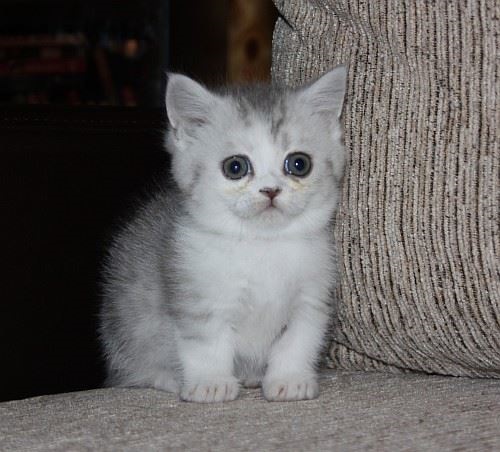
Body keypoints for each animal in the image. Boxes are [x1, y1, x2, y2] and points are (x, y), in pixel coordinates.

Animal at [99, 65, 346, 400]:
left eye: (298, 163)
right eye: (235, 167)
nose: (271, 190)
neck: (262, 245)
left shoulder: (311, 296)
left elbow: (298, 340)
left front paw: (290, 379)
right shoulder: (196, 292)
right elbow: (206, 343)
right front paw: (211, 383)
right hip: (129, 328)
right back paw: (167, 377)